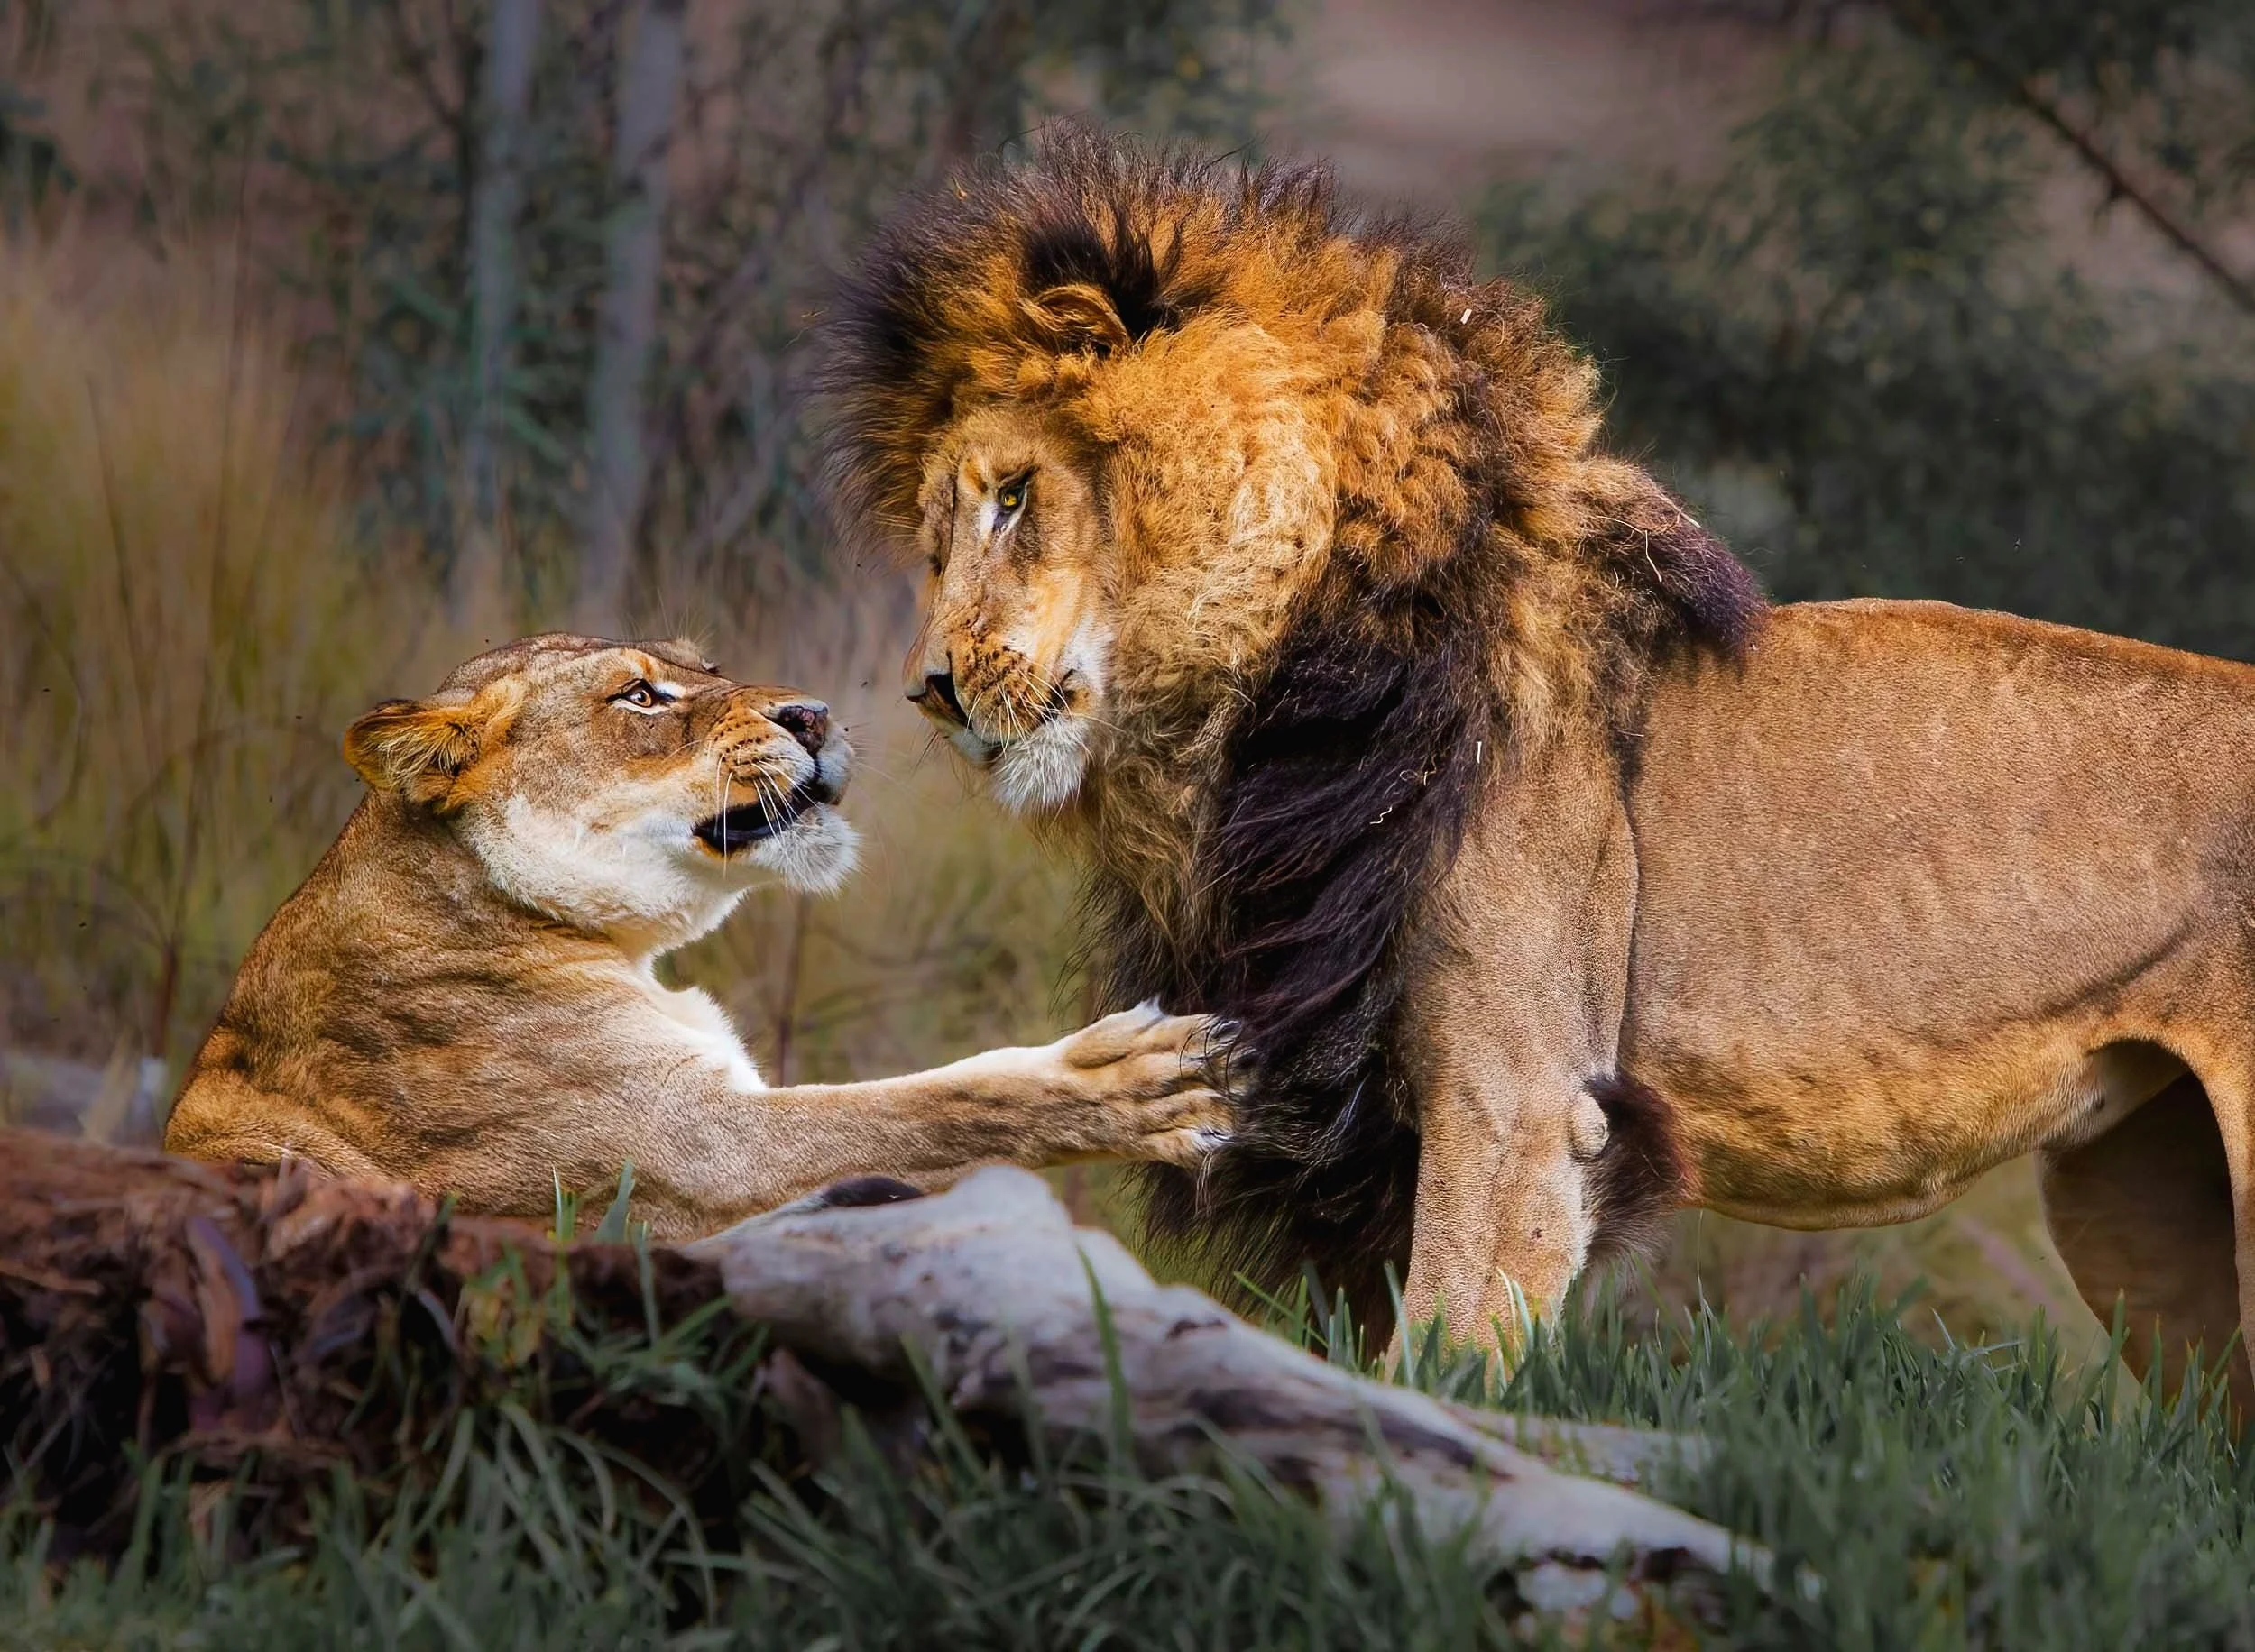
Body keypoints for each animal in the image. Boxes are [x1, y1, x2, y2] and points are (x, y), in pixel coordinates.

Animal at [163, 633, 1233, 1234]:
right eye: (640, 696)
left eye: (708, 672)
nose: (816, 713)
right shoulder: (692, 1156)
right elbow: (928, 1104)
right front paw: (1145, 1083)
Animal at [821, 125, 2255, 1411]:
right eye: (937, 539)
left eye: (1014, 494)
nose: (928, 688)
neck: (1246, 724)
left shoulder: (1517, 1105)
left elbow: (1440, 1370)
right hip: (2143, 1209)